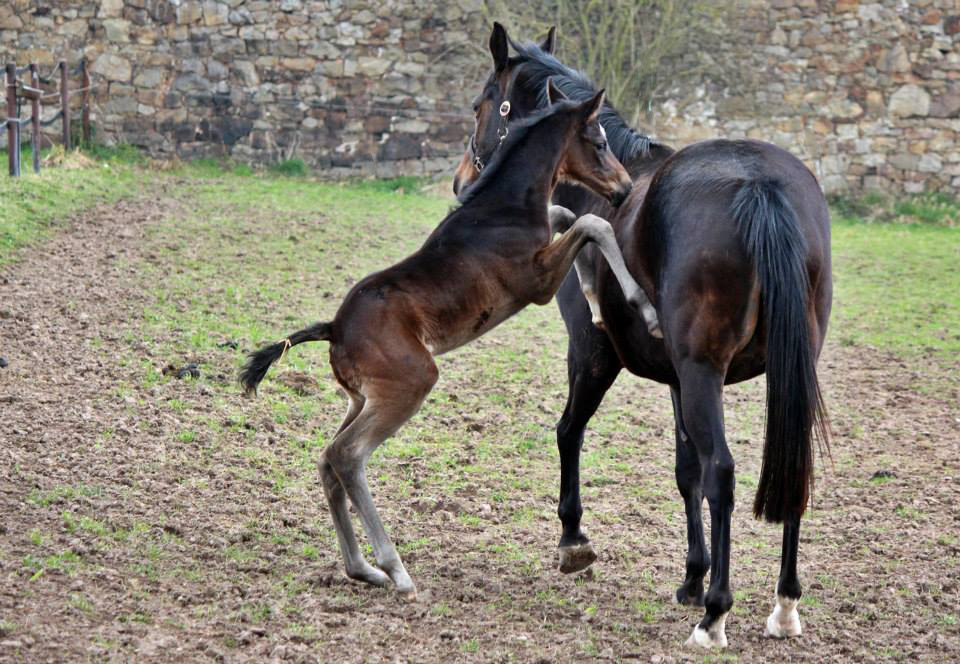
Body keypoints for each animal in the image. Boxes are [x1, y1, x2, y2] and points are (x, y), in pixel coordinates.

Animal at [238, 91, 652, 604]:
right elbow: (592, 222)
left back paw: (362, 570)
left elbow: (570, 217)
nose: (624, 187)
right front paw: (639, 304)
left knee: (326, 460)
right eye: (599, 143)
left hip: (360, 398)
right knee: (347, 457)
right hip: (411, 383)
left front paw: (595, 294)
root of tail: (334, 328)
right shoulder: (535, 282)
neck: (502, 209)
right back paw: (394, 569)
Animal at [454, 24, 828, 648]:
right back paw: (784, 604)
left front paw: (573, 539)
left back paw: (716, 615)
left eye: (484, 104)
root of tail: (760, 184)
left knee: (723, 471)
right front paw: (691, 578)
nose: (463, 183)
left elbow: (570, 432)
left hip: (697, 373)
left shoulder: (592, 355)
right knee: (785, 468)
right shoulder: (677, 379)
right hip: (786, 371)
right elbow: (684, 471)